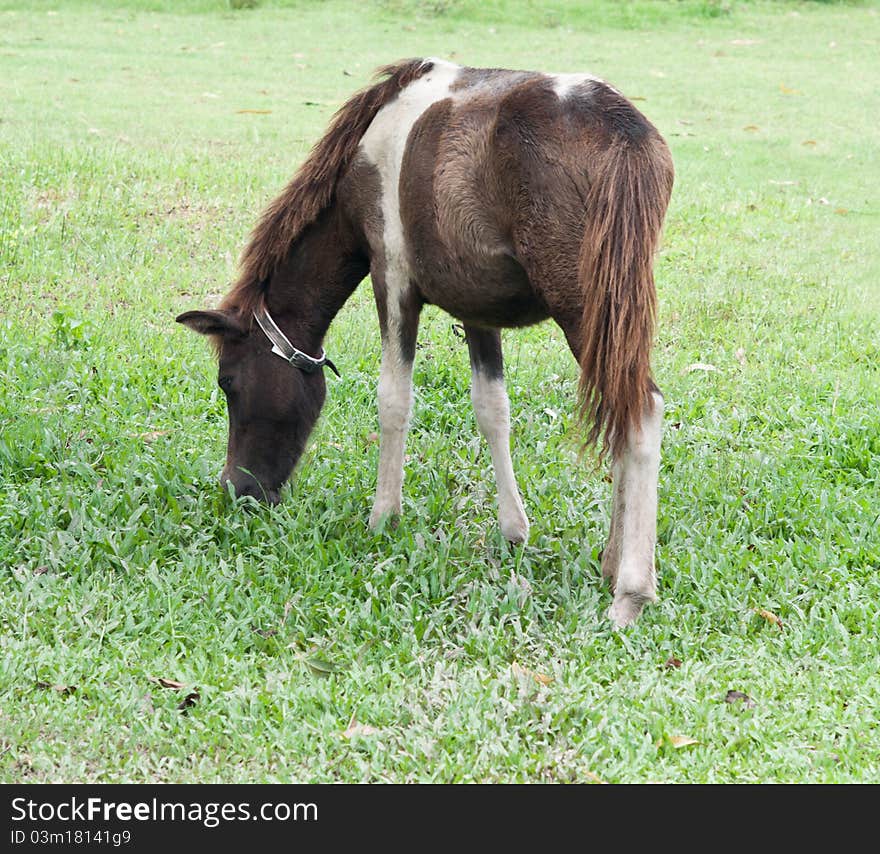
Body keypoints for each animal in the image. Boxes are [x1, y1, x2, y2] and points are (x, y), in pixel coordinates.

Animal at [177, 56, 672, 624]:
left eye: (228, 383)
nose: (236, 491)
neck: (364, 158)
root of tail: (625, 131)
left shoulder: (391, 279)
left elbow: (393, 401)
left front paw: (382, 518)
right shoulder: (478, 307)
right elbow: (492, 410)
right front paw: (513, 530)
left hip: (584, 310)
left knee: (641, 412)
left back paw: (631, 591)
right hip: (615, 318)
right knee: (623, 410)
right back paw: (614, 562)